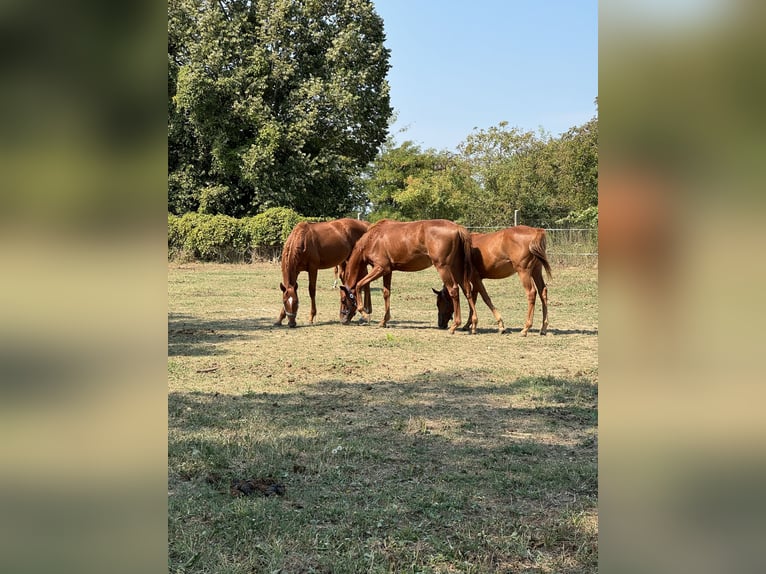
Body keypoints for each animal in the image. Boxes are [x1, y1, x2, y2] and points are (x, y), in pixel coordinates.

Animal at [340, 220, 476, 338]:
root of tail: (458, 228)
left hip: (443, 267)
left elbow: (359, 285)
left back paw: (455, 326)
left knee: (454, 290)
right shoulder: (388, 271)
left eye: (343, 300)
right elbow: (386, 293)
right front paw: (384, 321)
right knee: (467, 290)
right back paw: (473, 324)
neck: (373, 239)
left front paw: (364, 313)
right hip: (457, 268)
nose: (342, 319)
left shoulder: (380, 268)